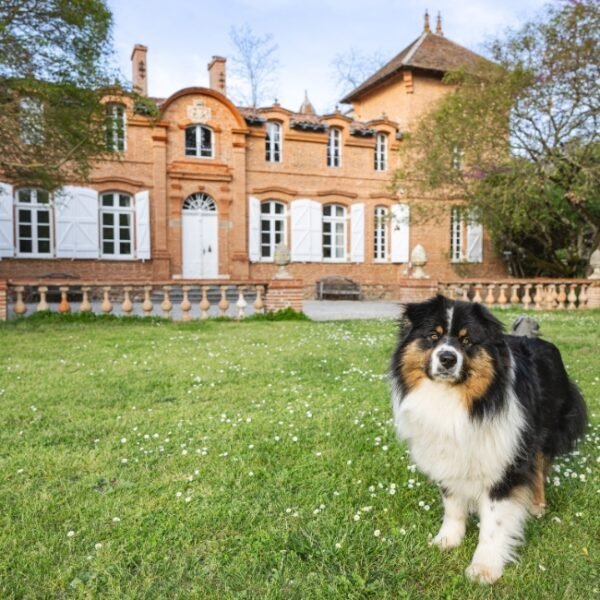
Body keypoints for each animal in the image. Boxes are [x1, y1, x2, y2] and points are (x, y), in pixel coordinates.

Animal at [390, 296, 584, 584]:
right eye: (432, 336)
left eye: (467, 341)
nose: (447, 358)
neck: (454, 399)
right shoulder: (445, 455)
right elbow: (452, 504)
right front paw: (448, 539)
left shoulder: (505, 463)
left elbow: (494, 522)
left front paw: (485, 567)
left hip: (545, 428)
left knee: (540, 466)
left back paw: (537, 504)